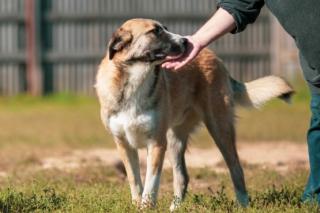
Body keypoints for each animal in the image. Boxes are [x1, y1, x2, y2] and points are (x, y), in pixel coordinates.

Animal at [94, 18, 292, 211]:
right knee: (183, 177)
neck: (135, 83)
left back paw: (243, 204)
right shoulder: (123, 144)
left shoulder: (156, 143)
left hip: (219, 129)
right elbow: (135, 181)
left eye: (165, 28)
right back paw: (175, 208)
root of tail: (215, 58)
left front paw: (146, 207)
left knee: (236, 168)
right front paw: (137, 206)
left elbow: (150, 185)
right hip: (174, 139)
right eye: (155, 31)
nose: (186, 41)